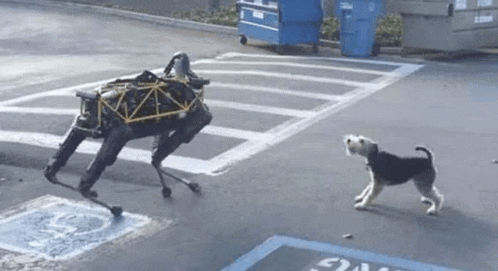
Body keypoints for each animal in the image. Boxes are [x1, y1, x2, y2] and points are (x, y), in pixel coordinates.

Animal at [43, 52, 212, 217]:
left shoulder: (169, 122)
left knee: (56, 164)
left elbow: (157, 152)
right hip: (119, 133)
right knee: (101, 160)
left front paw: (172, 185)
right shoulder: (193, 116)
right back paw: (97, 198)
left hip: (90, 127)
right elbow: (161, 151)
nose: (197, 81)